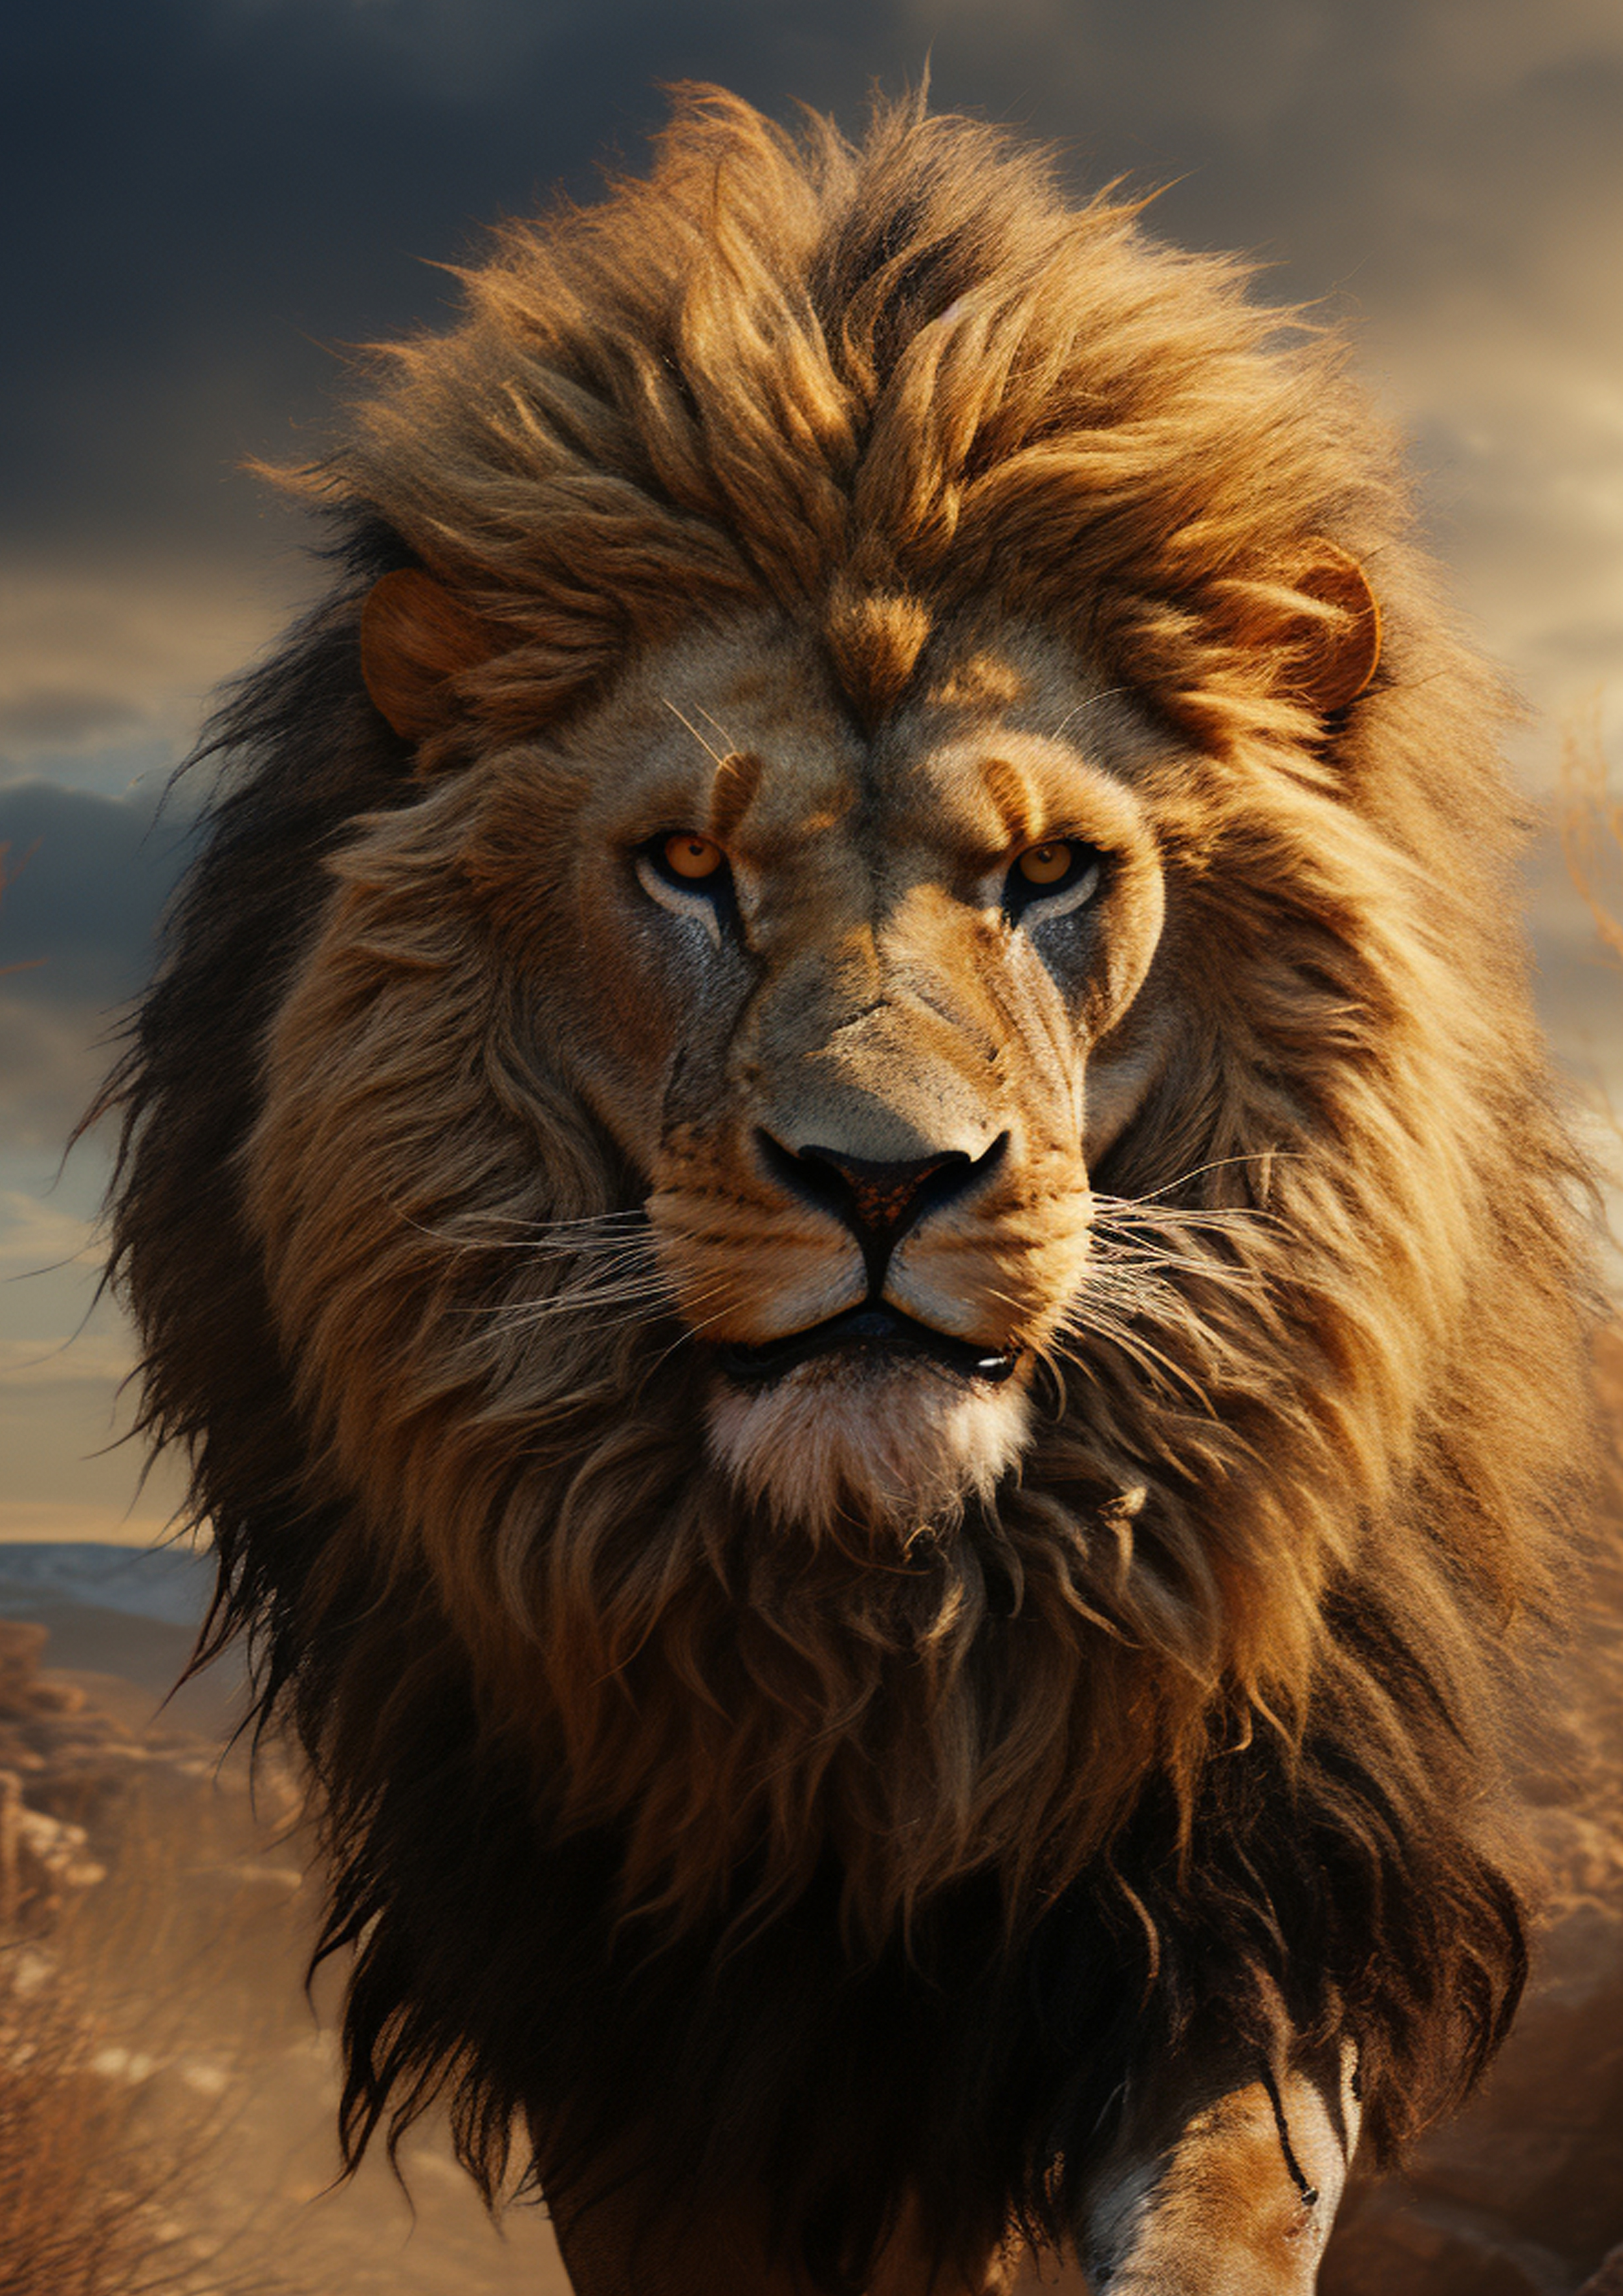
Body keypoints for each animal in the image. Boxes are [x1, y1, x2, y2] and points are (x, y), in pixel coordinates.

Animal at [93, 87, 1598, 2295]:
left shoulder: (1244, 1884)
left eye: (1050, 873)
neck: (885, 1652)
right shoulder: (652, 2031)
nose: (884, 1181)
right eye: (687, 868)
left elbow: (1216, 2205)